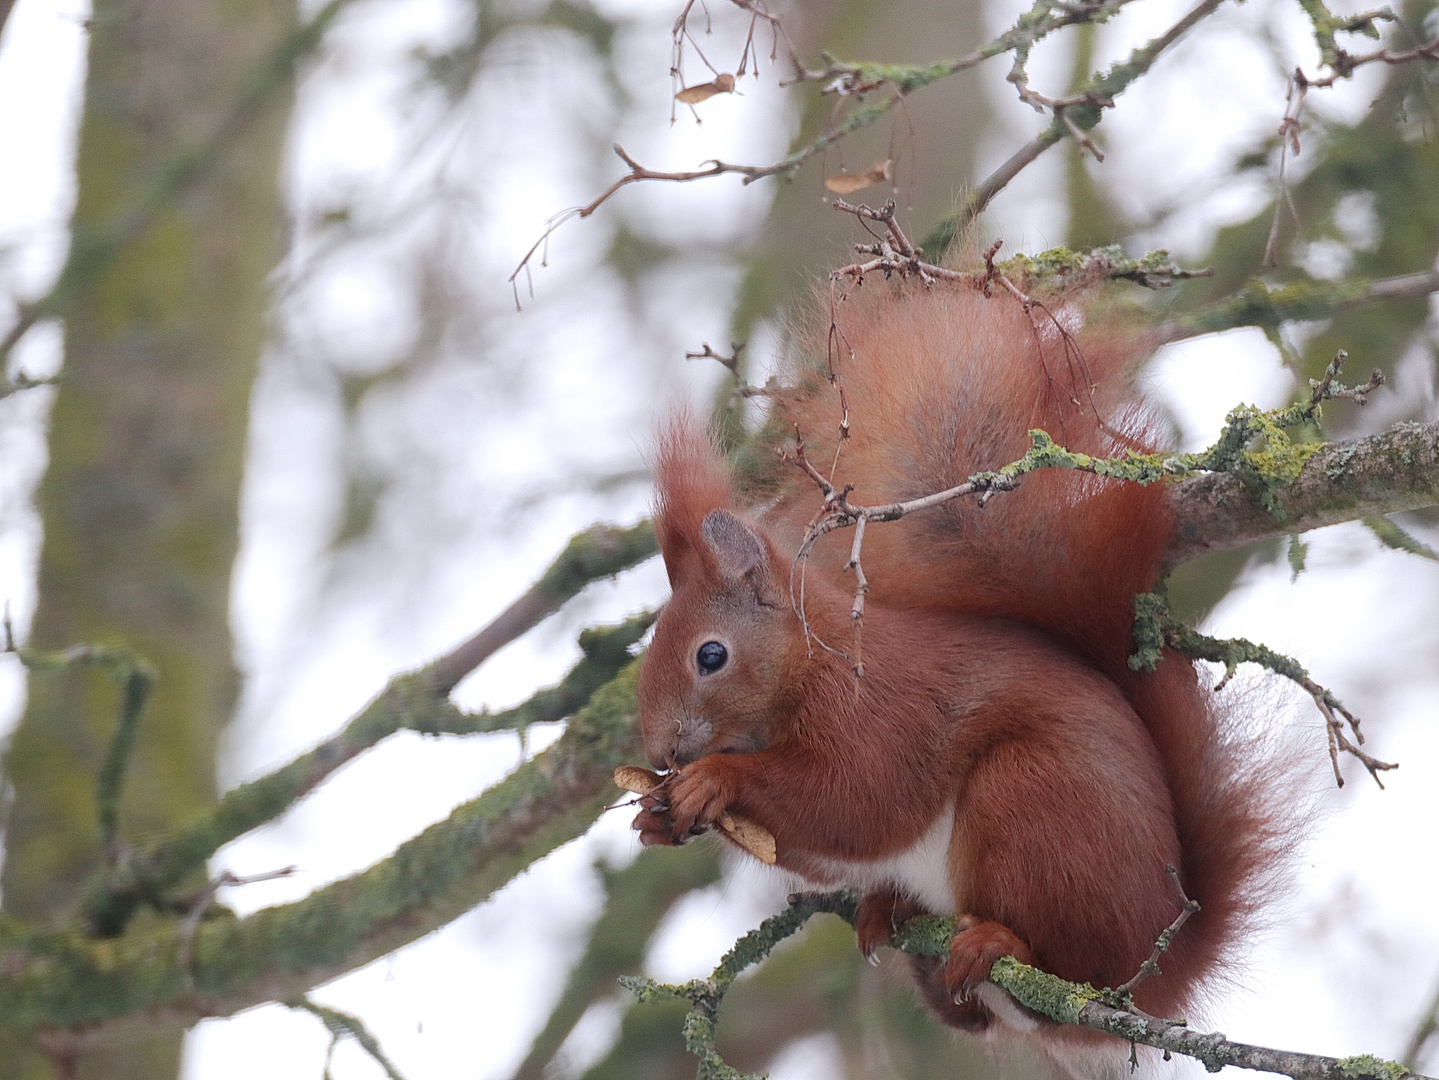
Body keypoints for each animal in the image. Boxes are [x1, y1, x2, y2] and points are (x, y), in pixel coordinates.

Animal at [630, 280, 1283, 1041]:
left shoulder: (880, 711)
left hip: (1033, 802)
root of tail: (1158, 972)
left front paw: (716, 780)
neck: (813, 662)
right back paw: (895, 918)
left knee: (1063, 966)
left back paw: (999, 944)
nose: (664, 751)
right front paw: (657, 819)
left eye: (711, 655)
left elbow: (856, 801)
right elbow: (820, 850)